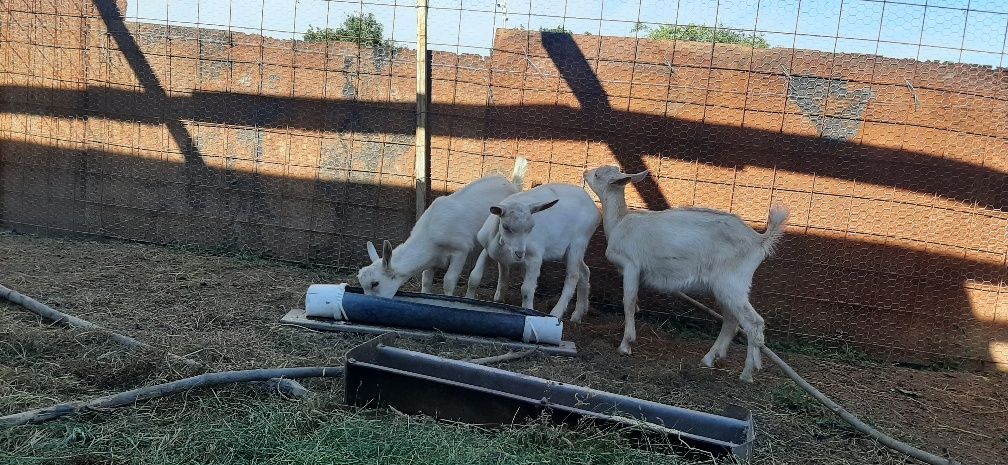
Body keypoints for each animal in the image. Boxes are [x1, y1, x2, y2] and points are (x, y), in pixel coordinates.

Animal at [356, 156, 528, 296]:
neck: (430, 234)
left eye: (375, 283)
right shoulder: (432, 260)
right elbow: (426, 281)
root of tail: (514, 185)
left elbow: (448, 282)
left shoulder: (461, 250)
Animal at [461, 181, 596, 318]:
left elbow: (526, 289)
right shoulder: (488, 250)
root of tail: (593, 206)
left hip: (578, 243)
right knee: (585, 272)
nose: (520, 253)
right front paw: (471, 300)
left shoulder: (535, 258)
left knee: (573, 276)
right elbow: (475, 277)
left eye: (531, 227)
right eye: (505, 226)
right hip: (567, 251)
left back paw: (557, 312)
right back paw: (578, 314)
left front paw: (529, 311)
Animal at [584, 165, 786, 383]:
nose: (585, 173)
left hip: (732, 284)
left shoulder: (631, 266)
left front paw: (625, 345)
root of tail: (760, 240)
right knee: (731, 321)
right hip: (725, 288)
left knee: (754, 323)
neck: (619, 222)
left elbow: (628, 303)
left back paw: (747, 374)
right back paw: (709, 359)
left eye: (598, 174)